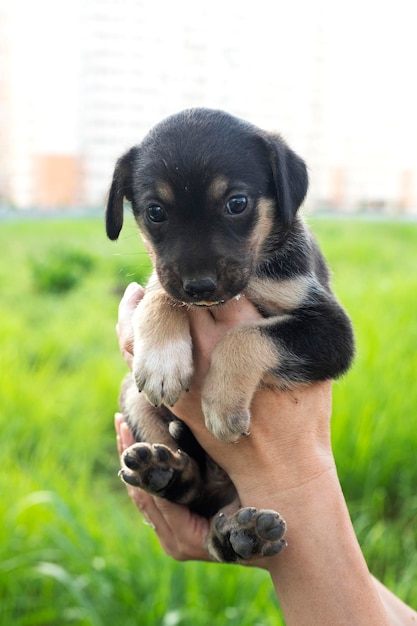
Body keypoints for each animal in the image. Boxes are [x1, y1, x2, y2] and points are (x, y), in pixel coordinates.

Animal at [105, 107, 352, 560]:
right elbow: (160, 292)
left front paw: (221, 403)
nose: (200, 286)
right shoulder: (167, 278)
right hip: (132, 396)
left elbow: (246, 336)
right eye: (155, 212)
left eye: (237, 204)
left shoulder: (333, 332)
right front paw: (162, 360)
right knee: (196, 493)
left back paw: (244, 534)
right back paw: (166, 475)